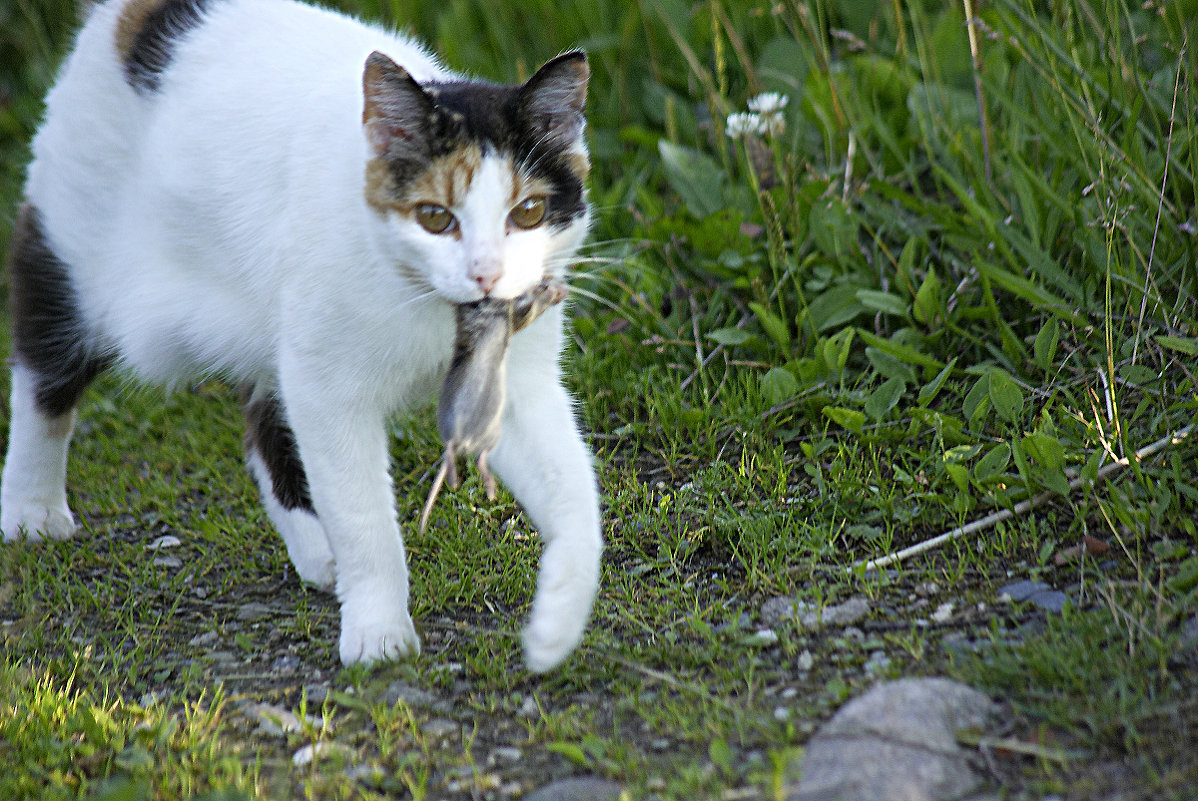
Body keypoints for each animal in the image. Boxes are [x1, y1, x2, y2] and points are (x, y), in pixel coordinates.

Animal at [0, 0, 599, 675]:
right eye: (434, 217)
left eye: (527, 213)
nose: (486, 274)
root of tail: (139, 15)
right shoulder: (330, 388)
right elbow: (364, 516)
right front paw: (378, 632)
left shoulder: (518, 382)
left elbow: (576, 495)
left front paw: (557, 624)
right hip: (71, 247)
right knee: (45, 371)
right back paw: (32, 508)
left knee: (264, 419)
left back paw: (317, 548)